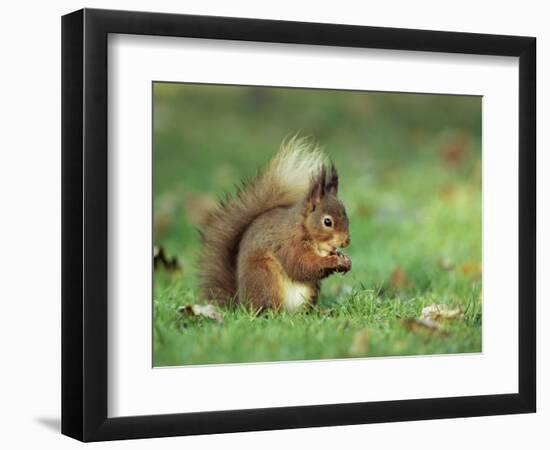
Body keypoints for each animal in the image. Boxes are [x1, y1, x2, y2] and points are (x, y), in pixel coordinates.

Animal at [201, 137, 352, 312]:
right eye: (327, 222)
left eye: (346, 217)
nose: (346, 241)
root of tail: (241, 304)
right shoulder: (289, 244)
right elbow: (301, 265)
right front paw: (334, 261)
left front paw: (344, 259)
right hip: (265, 277)